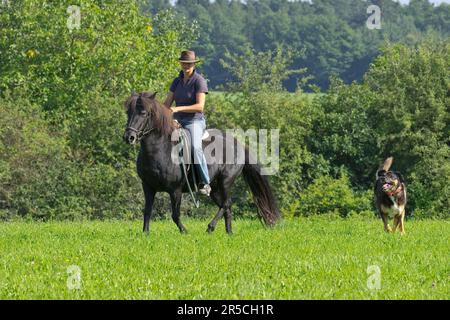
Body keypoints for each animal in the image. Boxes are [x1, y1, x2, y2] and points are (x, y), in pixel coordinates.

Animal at [121, 91, 280, 234]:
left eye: (143, 113)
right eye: (128, 112)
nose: (129, 137)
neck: (161, 150)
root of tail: (238, 144)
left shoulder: (175, 190)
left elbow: (175, 215)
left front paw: (184, 231)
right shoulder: (148, 187)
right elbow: (147, 211)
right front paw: (145, 234)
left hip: (225, 181)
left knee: (226, 203)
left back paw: (210, 227)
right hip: (215, 188)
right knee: (226, 206)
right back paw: (229, 232)